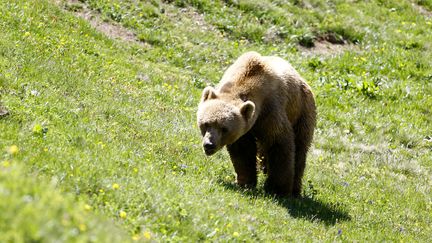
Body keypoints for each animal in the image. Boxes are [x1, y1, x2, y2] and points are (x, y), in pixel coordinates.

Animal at [197, 51, 316, 197]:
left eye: (224, 129)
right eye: (206, 124)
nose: (209, 144)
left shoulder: (270, 112)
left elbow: (279, 144)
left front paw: (277, 189)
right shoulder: (244, 129)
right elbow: (243, 151)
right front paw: (245, 182)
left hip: (302, 111)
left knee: (300, 149)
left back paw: (295, 189)